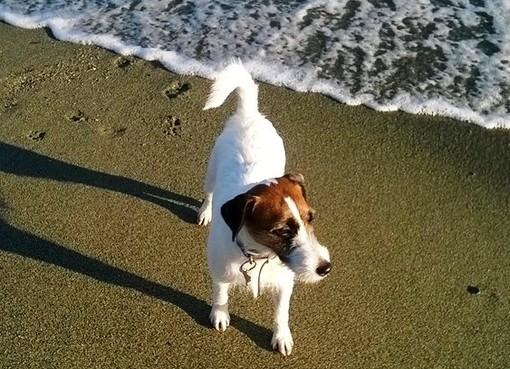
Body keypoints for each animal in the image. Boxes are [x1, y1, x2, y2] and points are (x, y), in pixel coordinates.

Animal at [195, 61, 330, 356]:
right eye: (282, 230)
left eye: (311, 218)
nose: (325, 268)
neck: (259, 256)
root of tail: (249, 115)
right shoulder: (220, 273)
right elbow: (220, 294)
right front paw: (220, 314)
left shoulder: (284, 284)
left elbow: (281, 312)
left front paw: (281, 336)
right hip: (210, 171)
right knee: (208, 193)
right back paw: (205, 211)